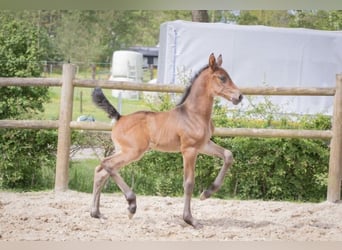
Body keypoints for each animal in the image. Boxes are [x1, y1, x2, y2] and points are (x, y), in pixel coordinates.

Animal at [89, 53, 242, 229]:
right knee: (107, 164)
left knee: (101, 171)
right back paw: (131, 205)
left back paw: (96, 213)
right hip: (133, 152)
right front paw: (190, 219)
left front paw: (207, 193)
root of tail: (120, 117)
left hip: (122, 150)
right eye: (222, 78)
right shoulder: (189, 150)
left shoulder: (204, 145)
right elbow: (189, 183)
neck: (194, 114)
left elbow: (228, 155)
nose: (239, 96)